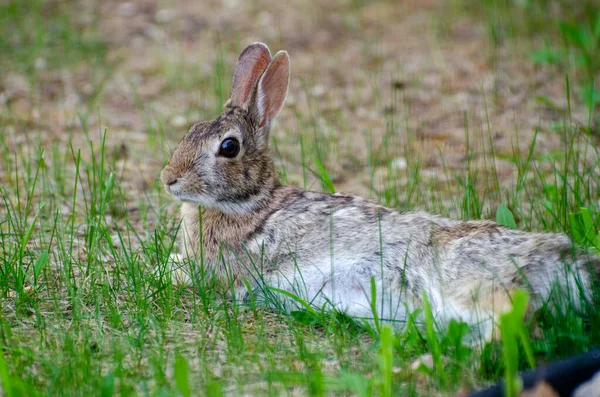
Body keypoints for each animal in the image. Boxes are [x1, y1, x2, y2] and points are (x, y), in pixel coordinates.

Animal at [161, 42, 600, 340]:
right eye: (189, 131)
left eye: (228, 147)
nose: (168, 178)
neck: (251, 203)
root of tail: (563, 260)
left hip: (471, 280)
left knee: (514, 318)